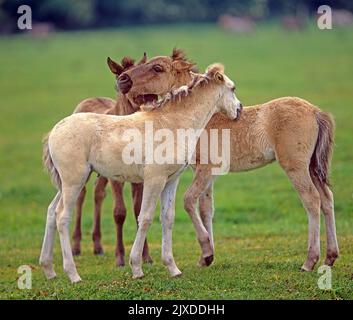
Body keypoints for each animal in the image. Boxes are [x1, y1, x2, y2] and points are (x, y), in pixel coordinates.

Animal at [39, 63, 242, 282]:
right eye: (233, 88)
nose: (239, 110)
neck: (172, 122)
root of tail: (54, 131)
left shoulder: (171, 181)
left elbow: (167, 218)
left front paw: (173, 268)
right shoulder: (154, 180)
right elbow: (145, 218)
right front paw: (136, 267)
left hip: (68, 183)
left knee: (51, 212)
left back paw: (49, 270)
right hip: (74, 181)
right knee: (62, 216)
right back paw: (73, 274)